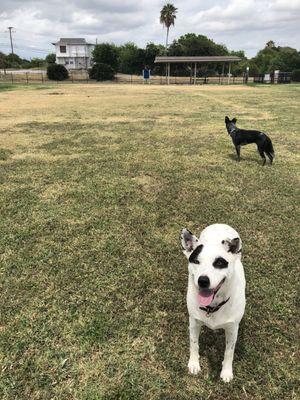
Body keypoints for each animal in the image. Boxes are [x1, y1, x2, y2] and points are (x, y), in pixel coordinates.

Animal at [180, 223, 246, 382]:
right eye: (196, 261)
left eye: (219, 263)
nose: (203, 281)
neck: (213, 306)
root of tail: (220, 224)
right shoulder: (194, 322)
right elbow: (194, 344)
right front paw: (194, 363)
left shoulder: (232, 329)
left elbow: (229, 352)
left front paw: (226, 371)